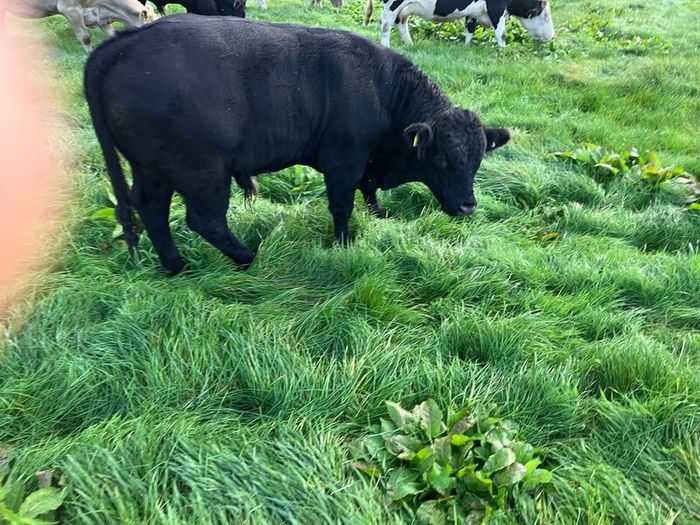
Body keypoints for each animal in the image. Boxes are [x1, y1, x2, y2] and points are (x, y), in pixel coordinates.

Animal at [84, 15, 510, 275]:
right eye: (442, 159)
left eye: (476, 161)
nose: (468, 205)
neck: (384, 88)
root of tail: (128, 41)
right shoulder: (344, 160)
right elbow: (342, 204)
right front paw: (344, 241)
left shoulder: (365, 163)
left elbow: (368, 191)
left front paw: (378, 215)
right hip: (202, 171)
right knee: (204, 220)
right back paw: (247, 257)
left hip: (151, 169)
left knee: (152, 211)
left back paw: (176, 266)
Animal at [365, 0, 554, 48]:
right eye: (544, 12)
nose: (552, 36)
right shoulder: (497, 7)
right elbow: (500, 31)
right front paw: (503, 50)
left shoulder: (473, 12)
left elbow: (470, 28)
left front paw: (467, 46)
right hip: (393, 4)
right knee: (386, 23)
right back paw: (386, 45)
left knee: (401, 21)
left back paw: (409, 43)